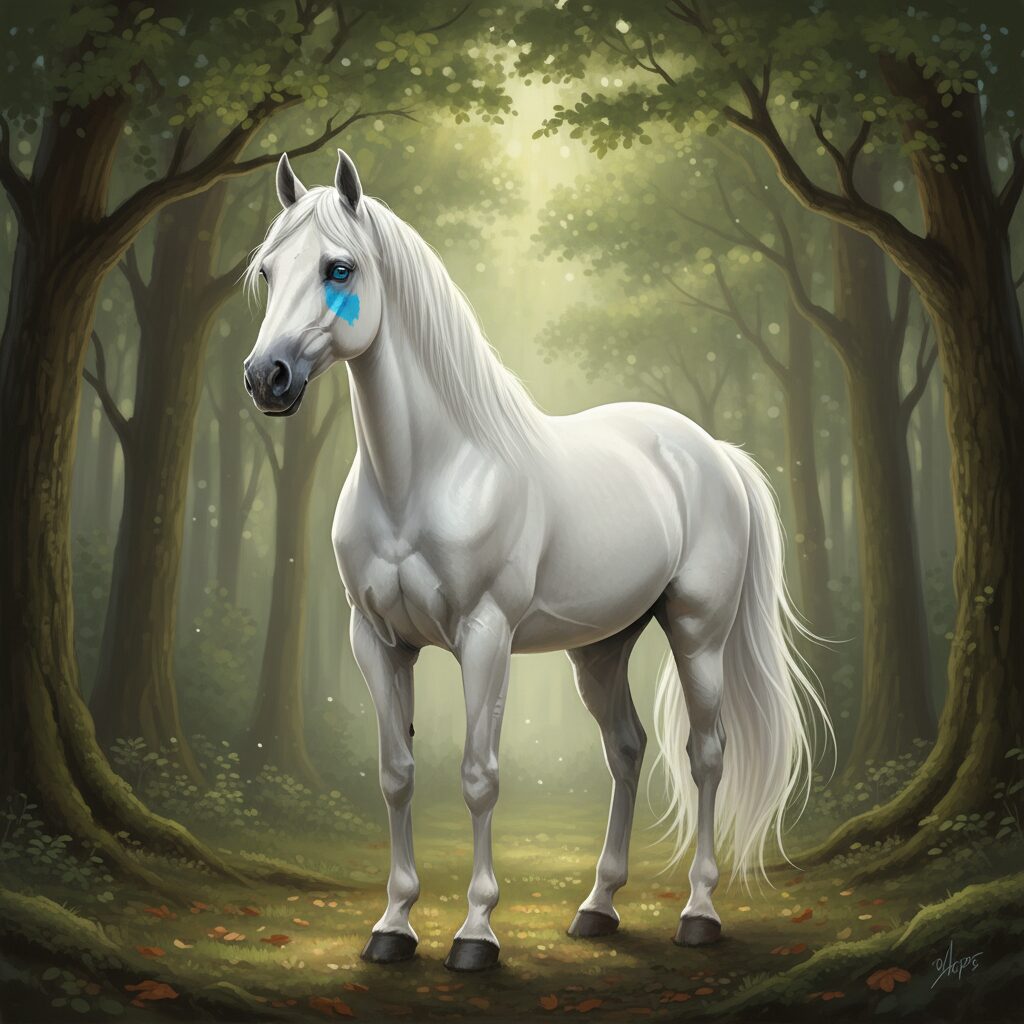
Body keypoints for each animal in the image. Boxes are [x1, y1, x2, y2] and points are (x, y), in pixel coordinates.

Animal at [242, 149, 831, 973]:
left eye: (339, 268)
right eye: (267, 271)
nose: (266, 378)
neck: (425, 475)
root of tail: (713, 451)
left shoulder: (485, 639)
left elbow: (480, 778)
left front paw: (475, 934)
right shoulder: (377, 642)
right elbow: (395, 776)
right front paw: (392, 926)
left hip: (698, 634)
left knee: (707, 754)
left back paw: (699, 912)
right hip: (602, 647)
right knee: (626, 751)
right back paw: (598, 907)